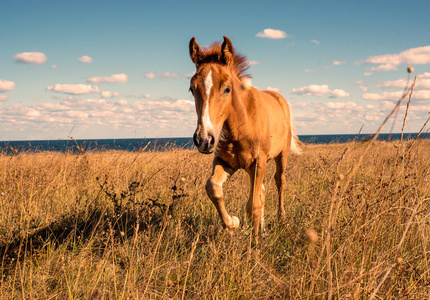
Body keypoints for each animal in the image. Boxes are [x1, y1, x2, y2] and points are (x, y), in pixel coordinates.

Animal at [188, 35, 302, 237]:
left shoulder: (259, 162)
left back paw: (281, 218)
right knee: (262, 190)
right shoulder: (225, 162)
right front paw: (233, 223)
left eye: (227, 89)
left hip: (281, 155)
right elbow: (213, 187)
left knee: (279, 181)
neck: (240, 128)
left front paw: (255, 243)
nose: (204, 140)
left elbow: (253, 205)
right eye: (192, 89)